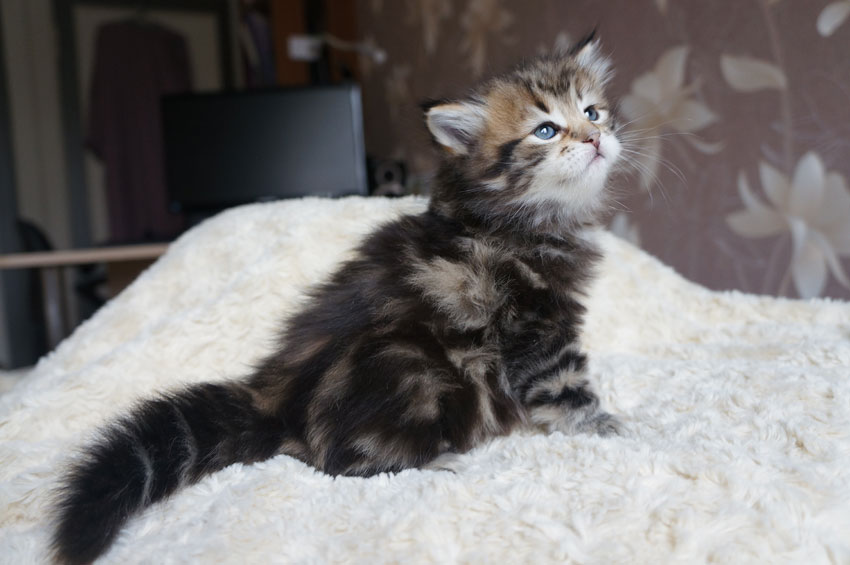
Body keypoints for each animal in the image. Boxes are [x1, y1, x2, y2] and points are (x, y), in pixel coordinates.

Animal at [52, 33, 622, 565]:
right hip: (406, 366)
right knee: (334, 465)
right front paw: (607, 428)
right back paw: (432, 462)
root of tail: (277, 400)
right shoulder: (532, 324)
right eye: (545, 130)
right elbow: (564, 384)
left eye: (593, 112)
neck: (519, 218)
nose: (596, 138)